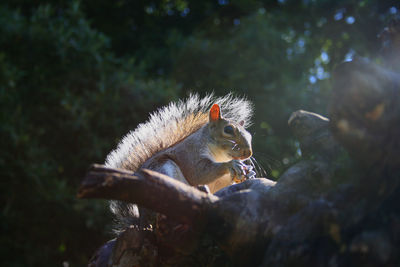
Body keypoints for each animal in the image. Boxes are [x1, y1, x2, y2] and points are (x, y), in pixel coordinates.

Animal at [104, 93, 255, 230]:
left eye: (249, 135)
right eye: (228, 129)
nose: (248, 153)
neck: (219, 156)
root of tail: (141, 220)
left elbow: (221, 186)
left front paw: (248, 173)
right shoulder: (191, 155)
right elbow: (199, 173)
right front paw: (231, 165)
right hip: (162, 172)